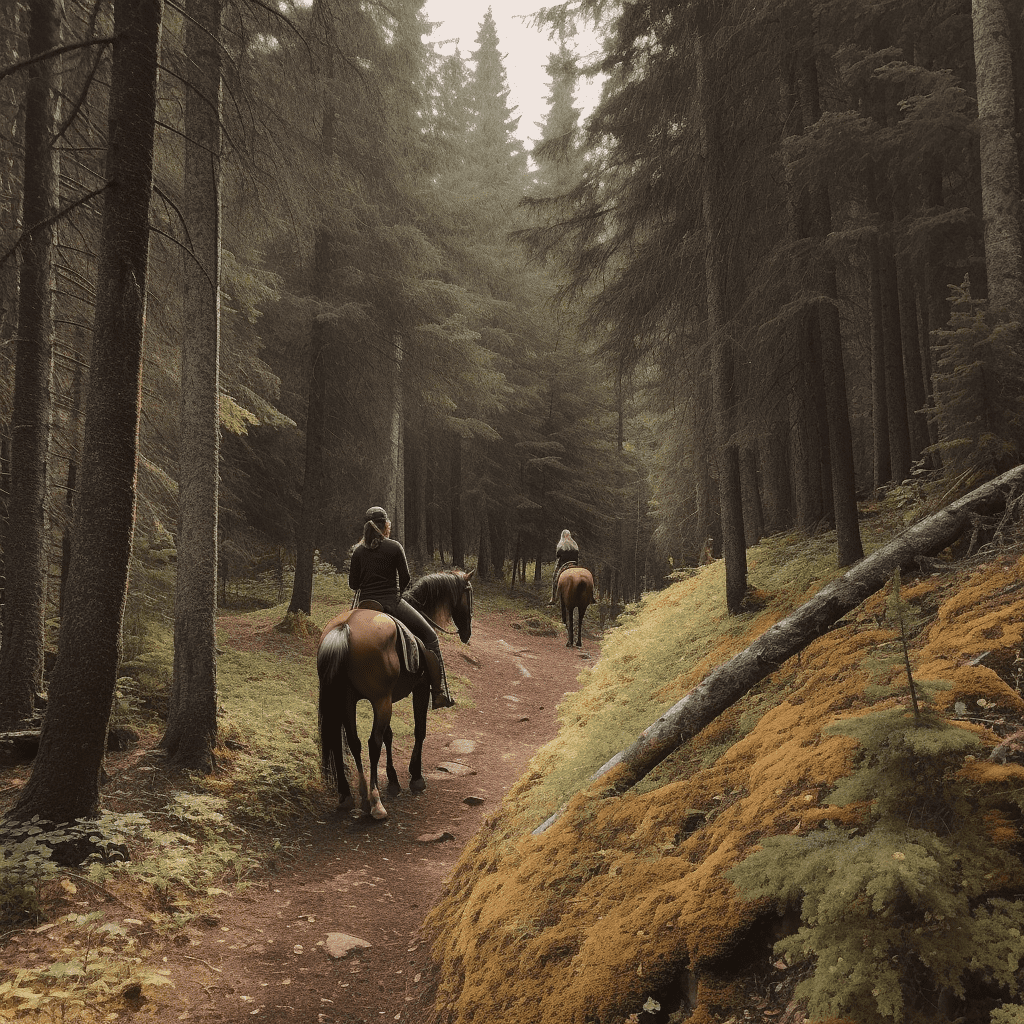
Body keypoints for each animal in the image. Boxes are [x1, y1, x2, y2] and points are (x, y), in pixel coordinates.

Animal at [317, 573, 473, 819]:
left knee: (351, 741)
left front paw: (393, 781)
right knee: (372, 742)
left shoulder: (386, 697)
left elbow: (389, 736)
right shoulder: (418, 688)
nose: (467, 633)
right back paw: (375, 803)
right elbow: (419, 730)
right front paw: (416, 777)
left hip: (347, 700)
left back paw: (350, 796)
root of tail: (344, 628)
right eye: (469, 594)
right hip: (379, 700)